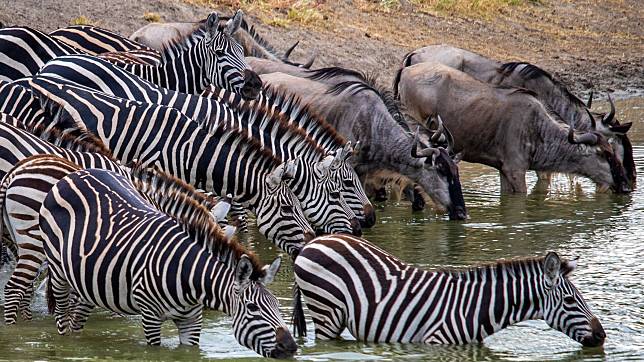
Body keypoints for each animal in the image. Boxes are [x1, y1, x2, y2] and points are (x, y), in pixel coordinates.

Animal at [37, 168, 294, 358]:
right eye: (252, 308)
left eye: (277, 306)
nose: (291, 347)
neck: (189, 277)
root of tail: (74, 175)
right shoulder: (149, 315)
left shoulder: (192, 319)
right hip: (58, 272)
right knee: (62, 321)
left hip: (87, 280)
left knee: (76, 321)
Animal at [294, 235, 608, 348]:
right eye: (570, 300)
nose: (602, 336)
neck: (478, 309)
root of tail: (317, 240)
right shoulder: (436, 342)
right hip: (327, 313)